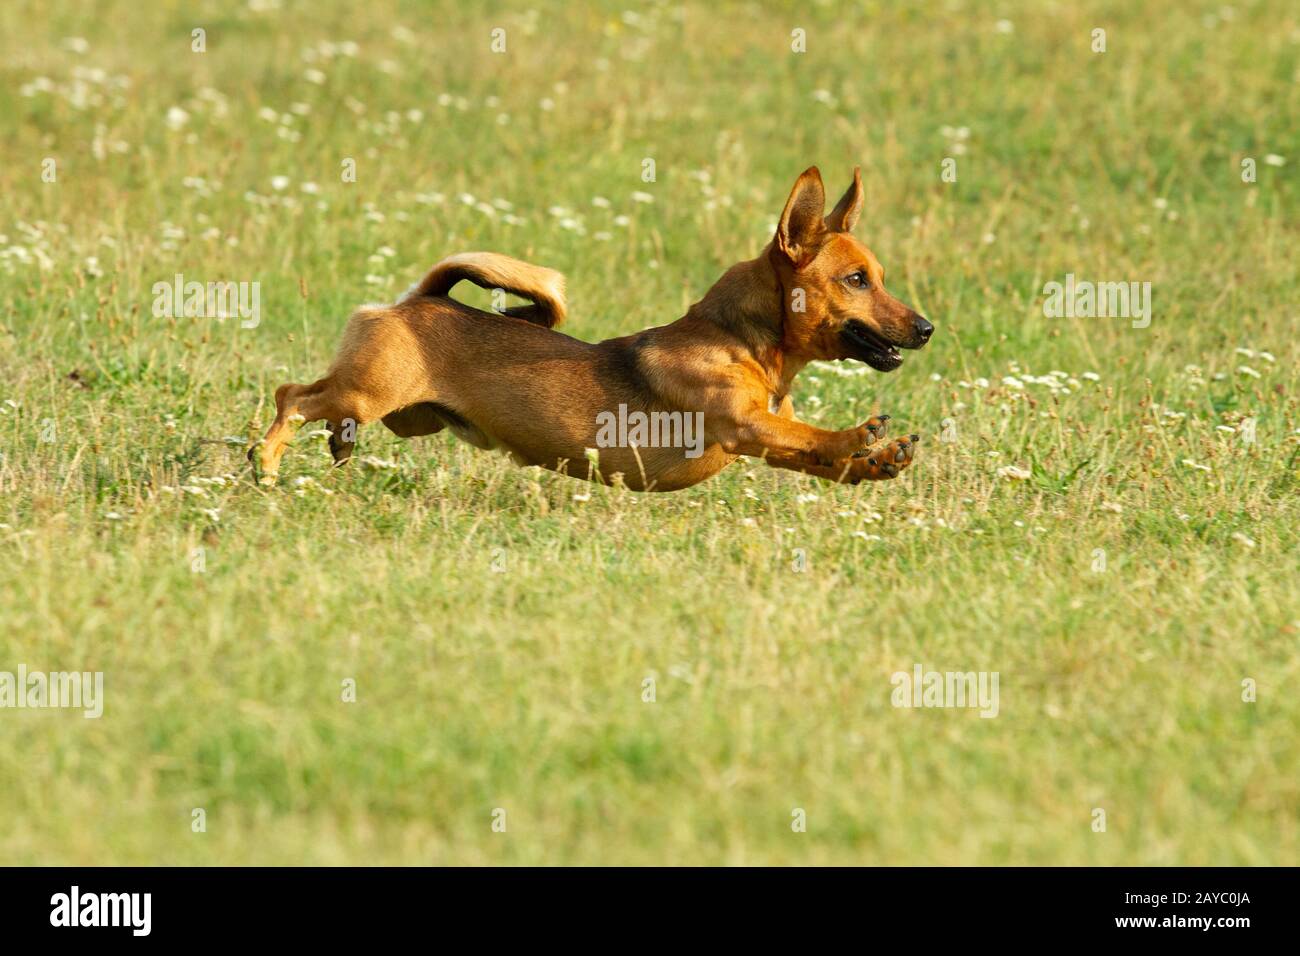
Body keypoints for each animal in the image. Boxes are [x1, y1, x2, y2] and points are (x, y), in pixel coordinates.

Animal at [245, 166, 935, 494]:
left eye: (879, 277)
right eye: (856, 280)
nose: (928, 329)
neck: (742, 344)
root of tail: (417, 300)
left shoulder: (763, 438)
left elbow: (815, 455)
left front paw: (876, 464)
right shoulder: (743, 426)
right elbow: (816, 436)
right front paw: (861, 434)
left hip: (408, 416)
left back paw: (336, 447)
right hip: (368, 391)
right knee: (291, 396)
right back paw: (267, 463)